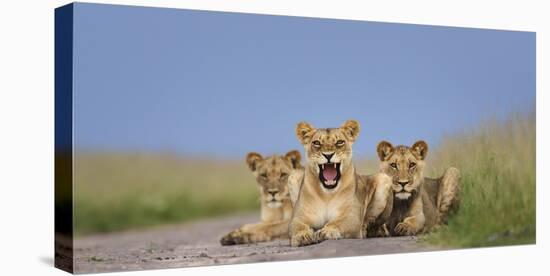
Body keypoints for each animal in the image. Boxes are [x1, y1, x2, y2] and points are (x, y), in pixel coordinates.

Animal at [292, 119, 394, 247]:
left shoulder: (352, 216)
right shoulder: (299, 217)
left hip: (383, 178)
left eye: (339, 142)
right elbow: (298, 227)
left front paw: (326, 231)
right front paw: (303, 236)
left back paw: (369, 230)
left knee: (373, 222)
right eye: (317, 143)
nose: (328, 155)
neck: (327, 195)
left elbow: (336, 223)